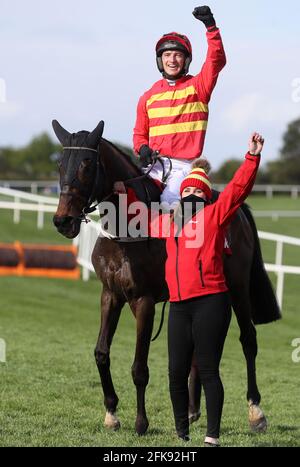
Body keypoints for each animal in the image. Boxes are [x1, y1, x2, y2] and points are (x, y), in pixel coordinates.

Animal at [52, 119, 282, 436]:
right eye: (60, 164)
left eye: (87, 165)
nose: (63, 221)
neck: (127, 229)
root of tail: (235, 209)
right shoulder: (110, 295)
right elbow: (101, 352)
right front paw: (111, 412)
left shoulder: (143, 301)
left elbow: (139, 367)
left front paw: (141, 422)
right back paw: (192, 409)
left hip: (238, 287)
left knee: (248, 339)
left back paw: (255, 411)